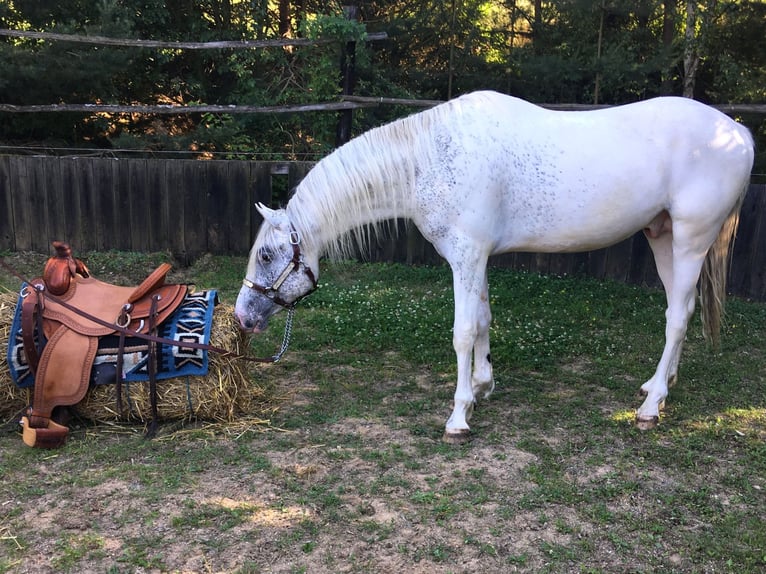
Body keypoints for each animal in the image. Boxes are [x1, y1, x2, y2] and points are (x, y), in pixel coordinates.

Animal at [234, 91, 754, 442]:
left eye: (266, 254)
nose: (241, 316)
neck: (430, 158)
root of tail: (739, 133)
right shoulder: (476, 257)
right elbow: (483, 318)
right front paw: (483, 384)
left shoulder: (466, 255)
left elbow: (463, 331)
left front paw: (459, 415)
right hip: (662, 237)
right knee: (680, 311)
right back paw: (658, 386)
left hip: (690, 240)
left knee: (677, 316)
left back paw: (650, 407)